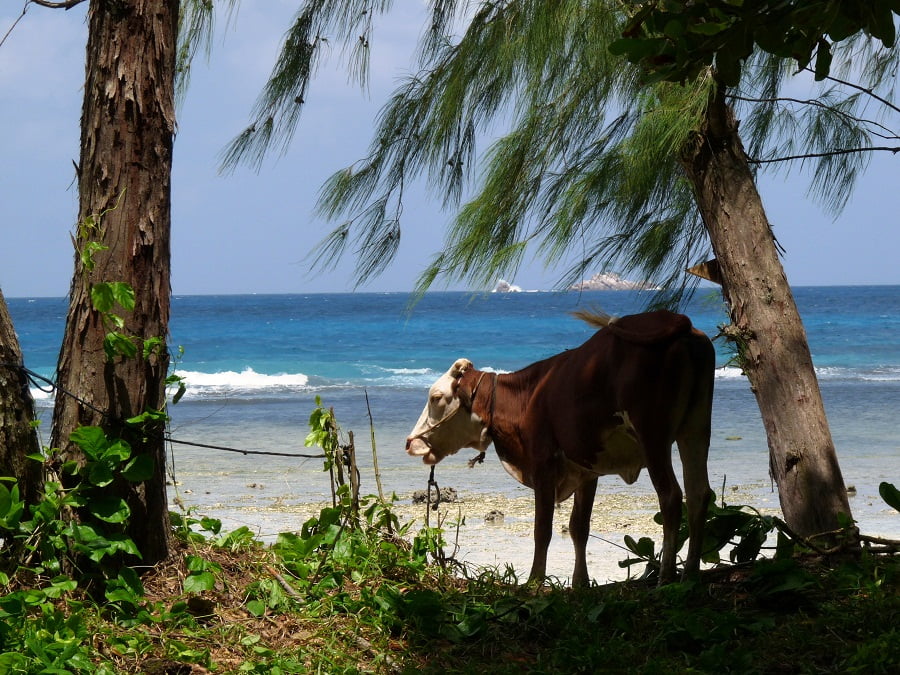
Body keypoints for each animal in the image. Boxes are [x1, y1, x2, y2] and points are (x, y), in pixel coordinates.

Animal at [404, 312, 712, 588]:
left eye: (436, 397)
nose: (410, 443)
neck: (527, 396)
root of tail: (676, 320)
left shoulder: (543, 464)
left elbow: (543, 528)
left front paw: (534, 581)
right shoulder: (587, 469)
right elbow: (579, 528)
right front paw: (580, 583)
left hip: (653, 437)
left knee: (671, 496)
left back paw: (666, 577)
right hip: (695, 430)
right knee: (699, 493)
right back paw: (691, 572)